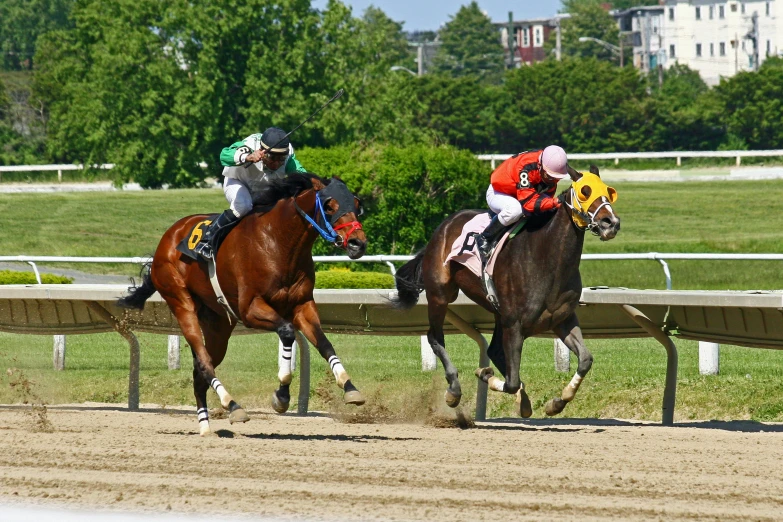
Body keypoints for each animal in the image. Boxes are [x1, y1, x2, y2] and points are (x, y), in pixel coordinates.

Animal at [118, 174, 368, 434]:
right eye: (330, 206)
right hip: (180, 301)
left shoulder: (302, 305)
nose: (358, 244)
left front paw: (349, 388)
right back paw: (232, 405)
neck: (278, 242)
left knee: (200, 372)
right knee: (204, 362)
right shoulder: (250, 309)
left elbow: (324, 343)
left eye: (356, 204)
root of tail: (169, 236)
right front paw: (281, 395)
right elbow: (287, 331)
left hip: (218, 325)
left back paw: (205, 426)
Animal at [396, 165, 620, 416]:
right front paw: (484, 374)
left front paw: (557, 402)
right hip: (440, 294)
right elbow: (511, 381)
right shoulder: (514, 324)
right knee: (435, 336)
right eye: (585, 191)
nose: (611, 222)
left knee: (493, 350)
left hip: (496, 311)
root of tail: (443, 227)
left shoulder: (561, 319)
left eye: (609, 192)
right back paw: (454, 390)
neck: (548, 259)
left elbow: (585, 359)